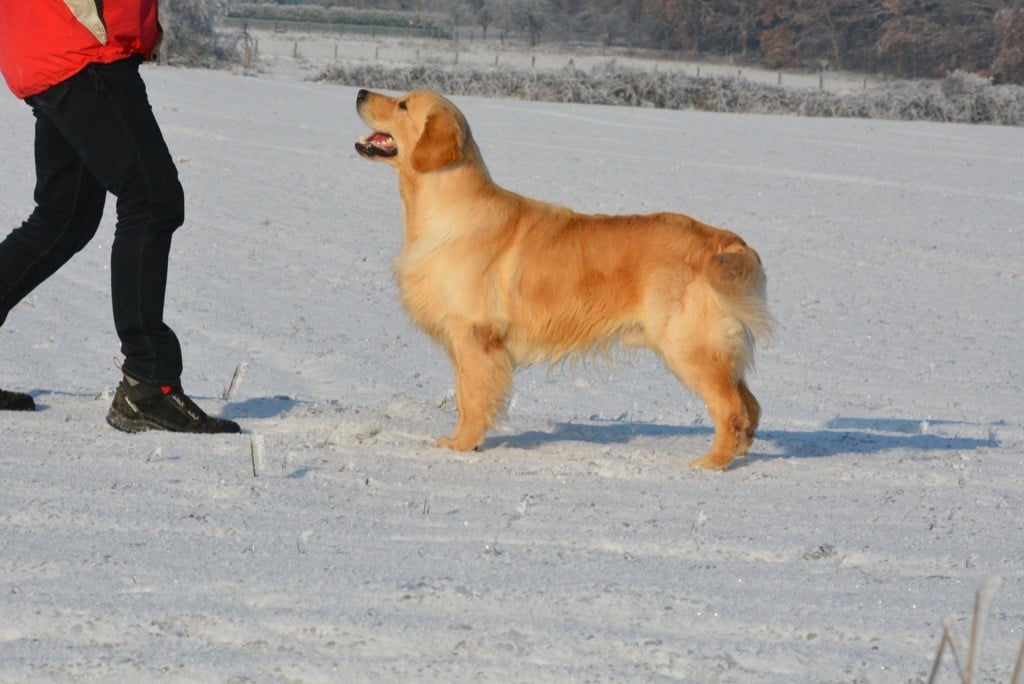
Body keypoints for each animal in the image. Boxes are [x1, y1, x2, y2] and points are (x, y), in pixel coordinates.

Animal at [356, 88, 770, 466]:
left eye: (403, 105)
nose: (360, 92)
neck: (447, 208)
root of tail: (729, 242)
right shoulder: (464, 342)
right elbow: (463, 395)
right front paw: (462, 441)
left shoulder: (474, 336)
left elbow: (472, 399)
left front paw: (460, 446)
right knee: (751, 404)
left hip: (687, 347)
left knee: (732, 409)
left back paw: (711, 463)